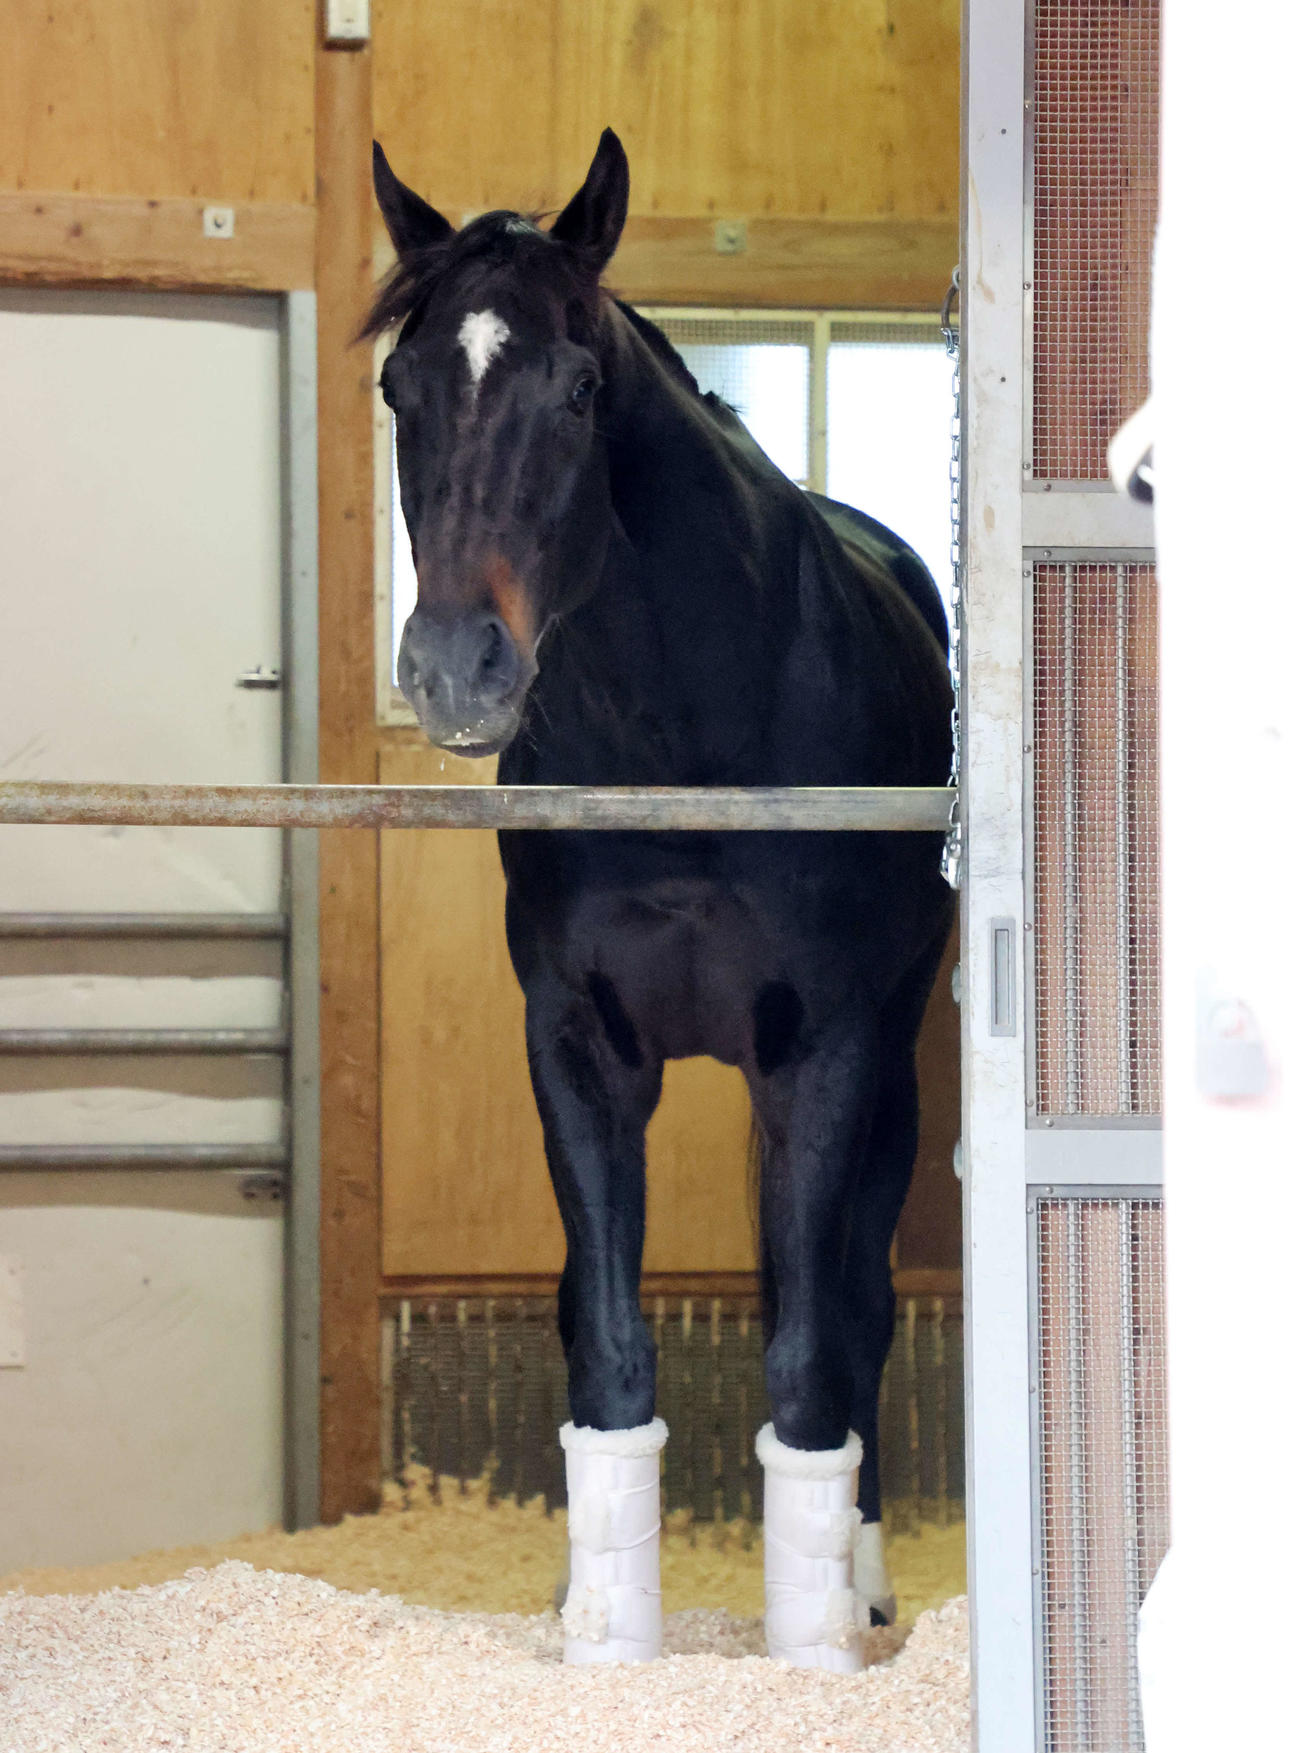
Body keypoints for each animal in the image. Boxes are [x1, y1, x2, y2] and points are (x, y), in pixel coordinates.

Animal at [366, 129, 954, 1671]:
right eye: (398, 388)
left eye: (578, 390)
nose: (454, 669)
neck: (687, 732)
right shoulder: (581, 1048)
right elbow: (607, 1336)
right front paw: (604, 1633)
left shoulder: (823, 1055)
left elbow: (816, 1341)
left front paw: (815, 1643)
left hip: (884, 1077)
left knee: (857, 1310)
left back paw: (862, 1582)